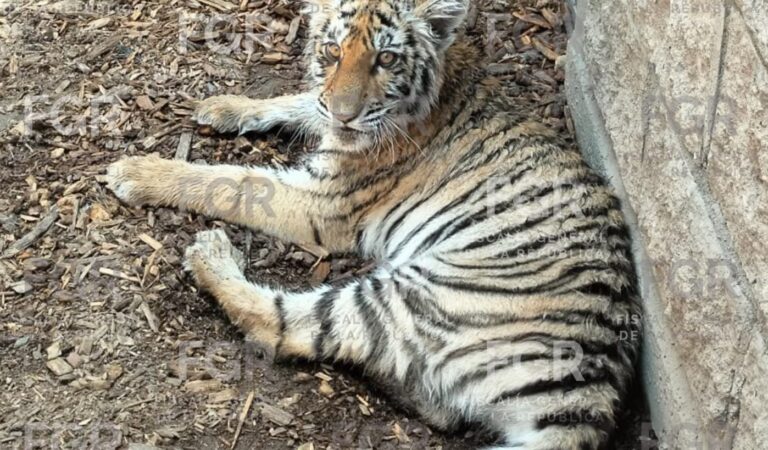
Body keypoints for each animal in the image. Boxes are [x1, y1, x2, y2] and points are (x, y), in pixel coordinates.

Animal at [105, 0, 642, 448]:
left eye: (386, 60)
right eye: (332, 50)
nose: (347, 115)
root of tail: (591, 394)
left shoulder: (322, 202)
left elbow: (229, 181)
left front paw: (136, 172)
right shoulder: (325, 117)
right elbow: (303, 99)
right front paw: (224, 106)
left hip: (421, 292)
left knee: (286, 325)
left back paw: (210, 255)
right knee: (441, 406)